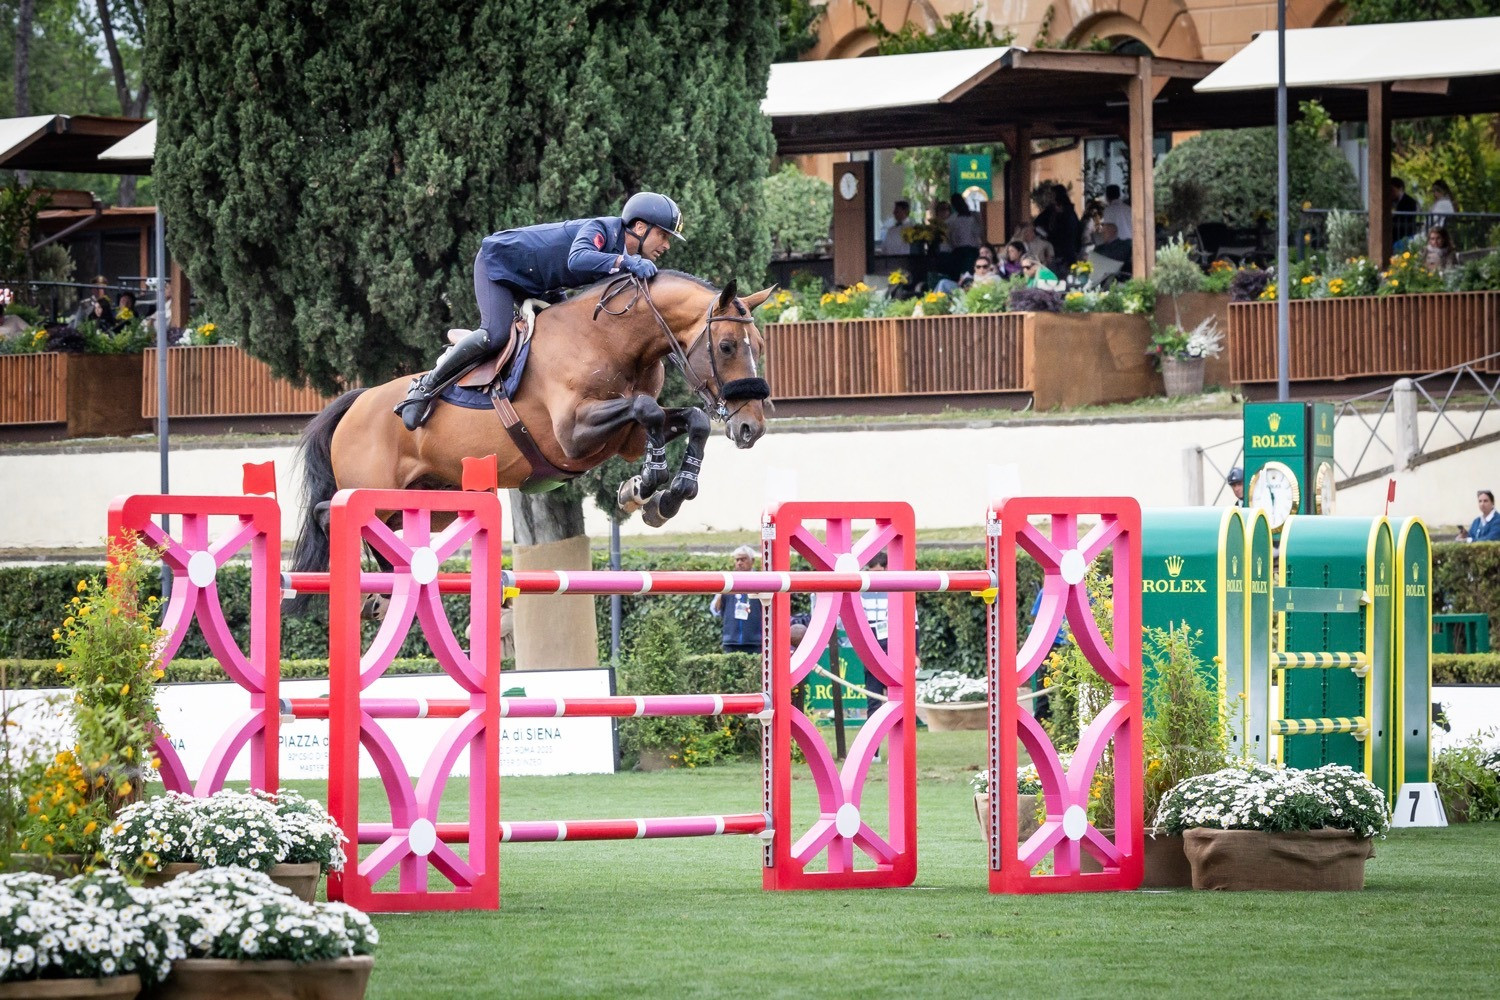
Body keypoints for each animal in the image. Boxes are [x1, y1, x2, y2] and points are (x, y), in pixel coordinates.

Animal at [289, 271, 774, 578]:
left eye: (760, 345)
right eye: (727, 346)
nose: (752, 428)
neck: (613, 340)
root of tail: (356, 402)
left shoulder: (627, 439)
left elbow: (689, 418)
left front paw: (664, 495)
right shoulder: (573, 436)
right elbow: (647, 409)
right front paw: (647, 484)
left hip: (430, 503)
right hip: (374, 488)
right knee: (330, 513)